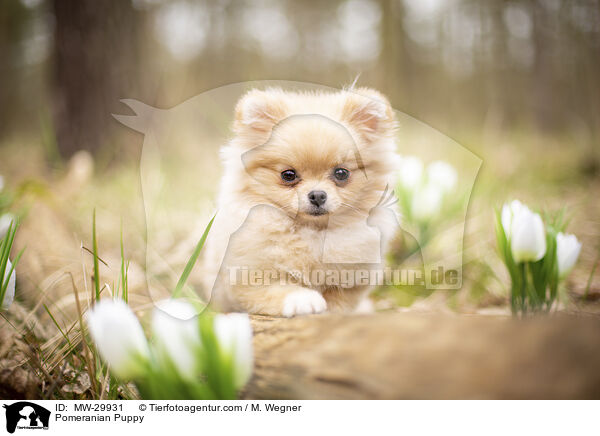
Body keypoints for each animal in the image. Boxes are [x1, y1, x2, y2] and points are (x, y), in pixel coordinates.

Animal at [199, 86, 400, 316]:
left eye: (341, 173)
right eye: (288, 175)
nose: (317, 195)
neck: (312, 232)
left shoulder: (351, 283)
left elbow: (339, 303)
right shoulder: (248, 277)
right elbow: (279, 289)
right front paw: (303, 300)